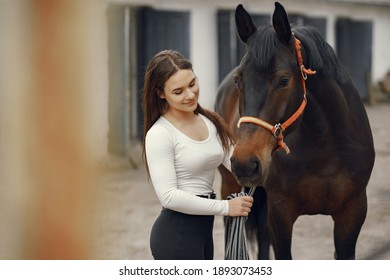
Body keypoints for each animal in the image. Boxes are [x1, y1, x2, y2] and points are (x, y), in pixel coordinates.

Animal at [216, 2, 374, 260]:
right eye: (239, 80)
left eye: (283, 80)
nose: (245, 163)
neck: (325, 148)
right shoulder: (281, 214)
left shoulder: (352, 213)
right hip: (230, 185)